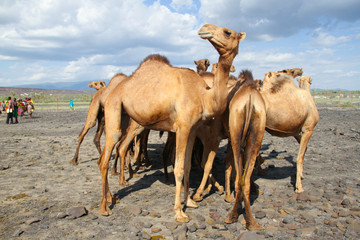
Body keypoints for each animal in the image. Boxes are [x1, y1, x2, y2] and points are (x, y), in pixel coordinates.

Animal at [97, 23, 246, 222]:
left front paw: (190, 201)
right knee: (105, 158)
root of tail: (111, 91)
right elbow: (179, 168)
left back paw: (112, 197)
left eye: (227, 32)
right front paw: (179, 212)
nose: (204, 27)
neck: (204, 96)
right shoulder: (182, 127)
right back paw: (105, 207)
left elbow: (189, 166)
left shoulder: (193, 129)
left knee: (107, 156)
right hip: (114, 109)